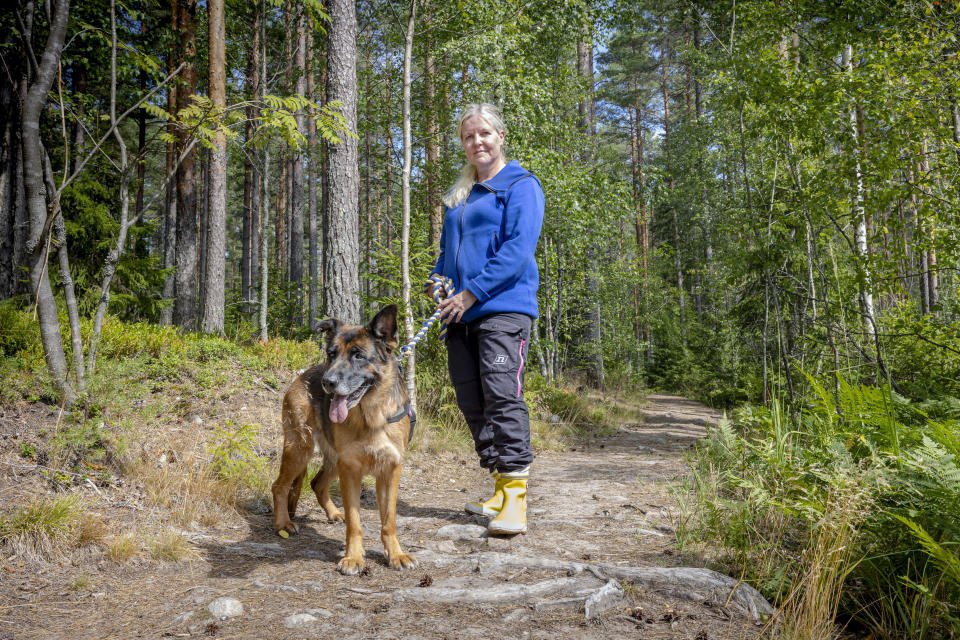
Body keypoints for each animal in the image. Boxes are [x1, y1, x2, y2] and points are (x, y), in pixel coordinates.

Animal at [272, 304, 418, 576]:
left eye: (358, 356)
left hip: (332, 460)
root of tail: (305, 374)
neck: (371, 414)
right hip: (300, 449)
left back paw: (332, 513)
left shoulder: (390, 470)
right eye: (331, 354)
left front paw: (395, 554)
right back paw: (283, 523)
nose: (327, 383)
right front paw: (353, 558)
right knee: (279, 486)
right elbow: (355, 522)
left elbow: (389, 520)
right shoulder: (350, 469)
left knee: (317, 483)